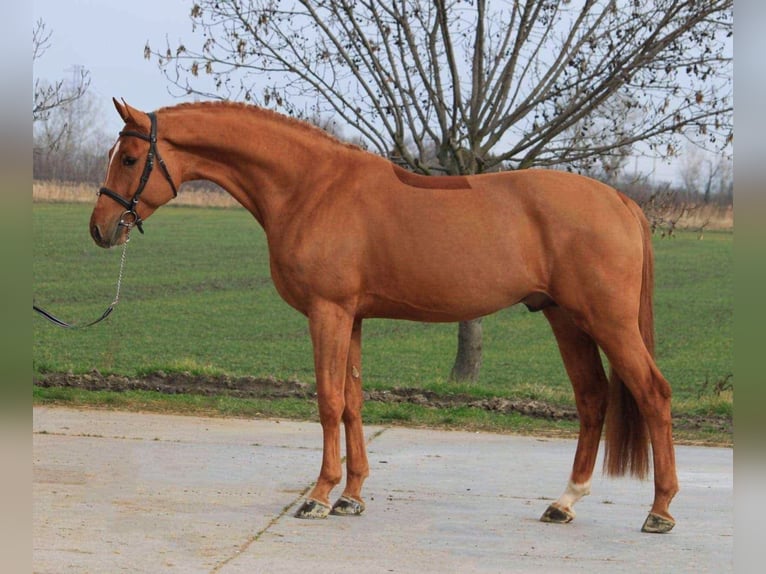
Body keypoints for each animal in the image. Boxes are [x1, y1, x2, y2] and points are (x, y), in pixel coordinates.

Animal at [90, 98, 678, 533]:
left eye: (128, 158)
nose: (99, 228)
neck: (311, 186)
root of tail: (621, 203)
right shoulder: (352, 317)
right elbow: (352, 401)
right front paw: (352, 496)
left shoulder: (327, 312)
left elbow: (328, 401)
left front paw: (319, 497)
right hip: (565, 318)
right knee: (593, 398)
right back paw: (565, 502)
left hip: (607, 321)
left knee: (652, 393)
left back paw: (660, 510)